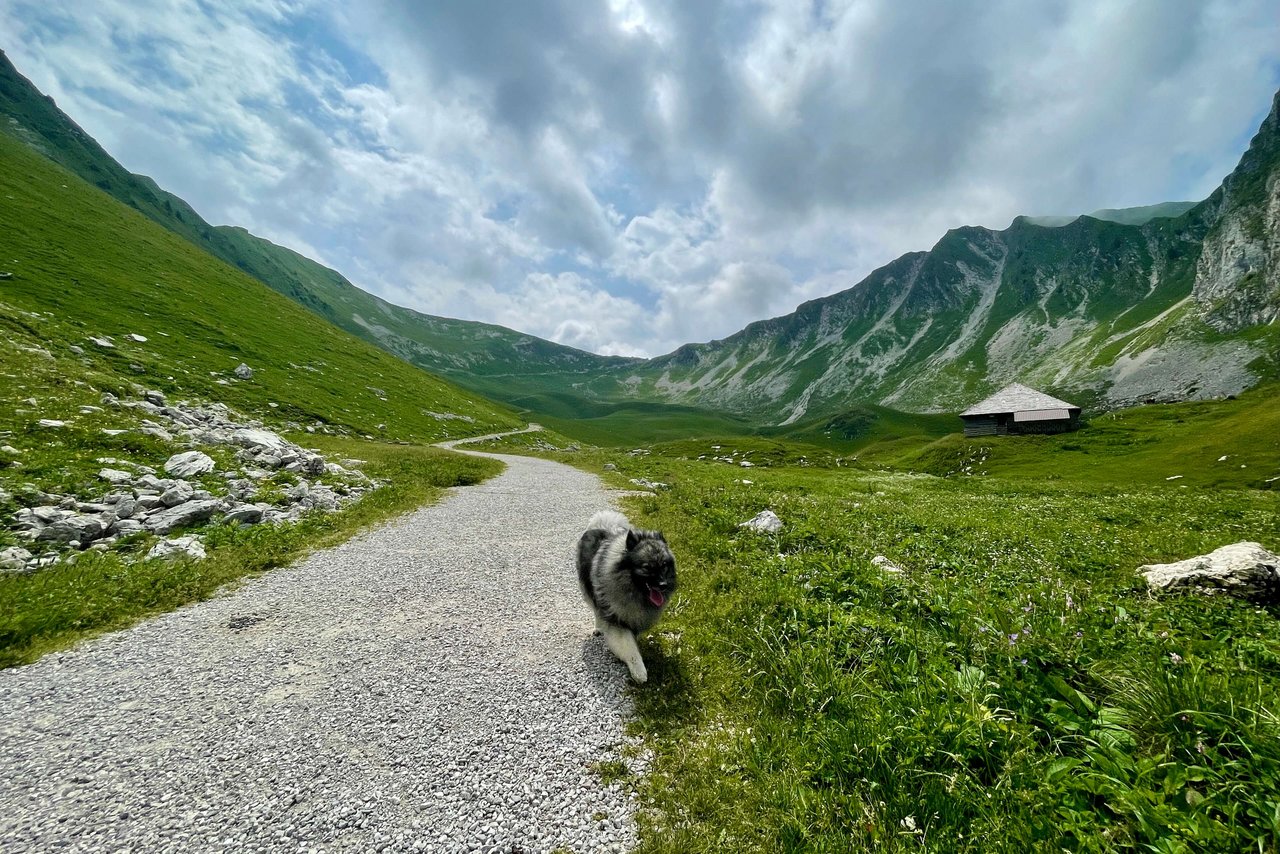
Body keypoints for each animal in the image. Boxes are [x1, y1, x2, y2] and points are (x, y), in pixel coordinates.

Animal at [581, 512, 680, 686]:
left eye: (664, 566)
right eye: (647, 567)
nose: (663, 585)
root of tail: (601, 524)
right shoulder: (617, 620)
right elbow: (629, 648)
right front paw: (639, 671)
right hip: (590, 591)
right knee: (596, 610)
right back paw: (598, 627)